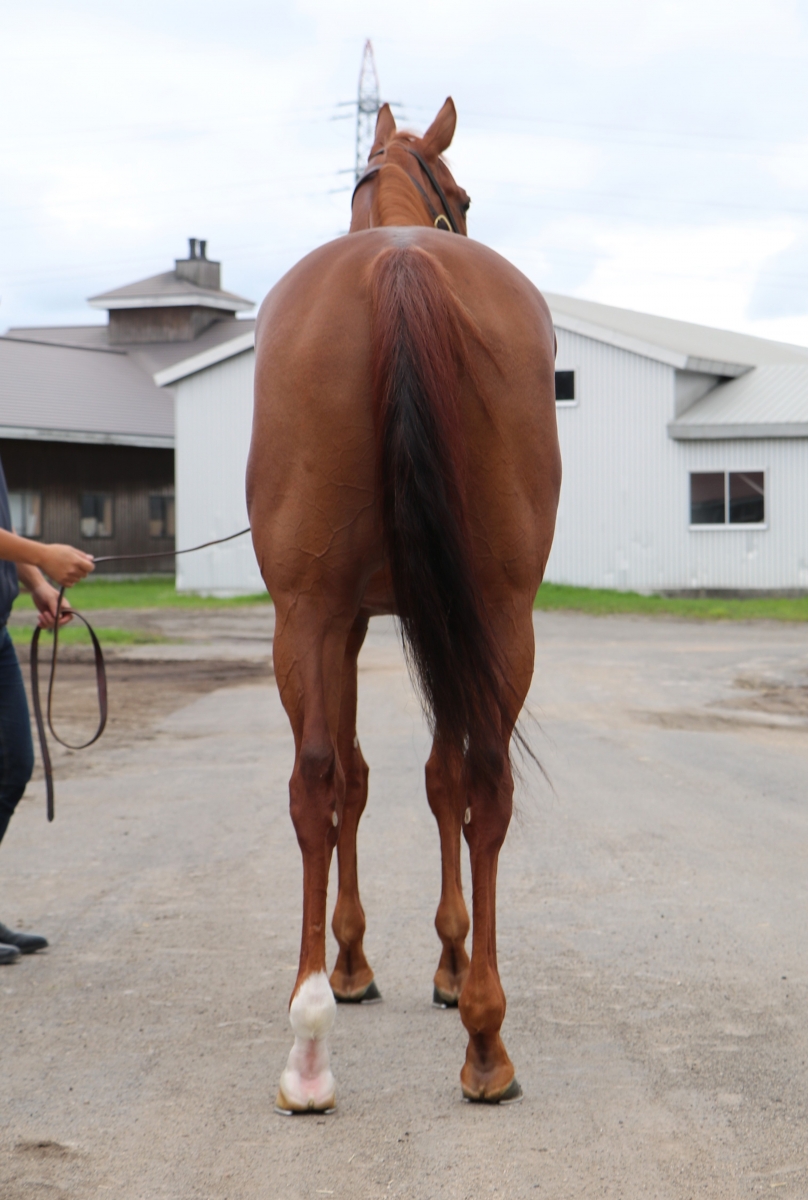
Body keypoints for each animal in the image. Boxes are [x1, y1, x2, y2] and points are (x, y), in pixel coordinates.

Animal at [247, 97, 561, 1111]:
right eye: (462, 193)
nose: (461, 215)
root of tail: (401, 262)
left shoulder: (349, 617)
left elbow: (376, 777)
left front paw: (367, 964)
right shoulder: (393, 616)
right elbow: (420, 778)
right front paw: (431, 966)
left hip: (316, 616)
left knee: (321, 781)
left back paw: (316, 1047)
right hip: (490, 612)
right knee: (478, 783)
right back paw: (483, 1042)